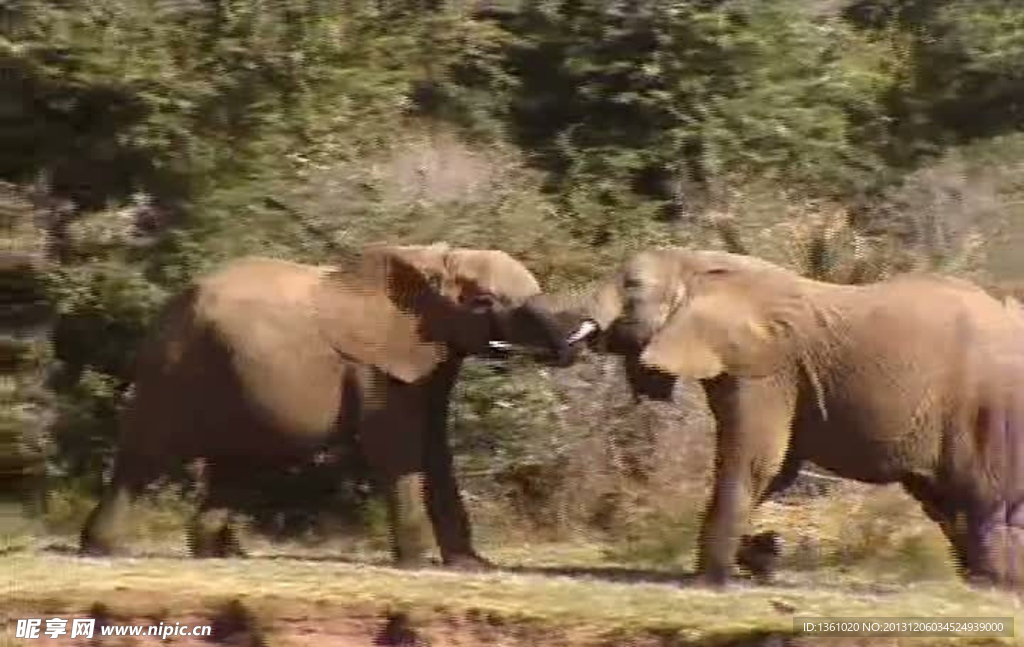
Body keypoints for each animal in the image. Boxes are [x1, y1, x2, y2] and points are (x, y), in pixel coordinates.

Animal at [79, 244, 573, 569]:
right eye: (484, 302)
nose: (575, 342)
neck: (433, 265)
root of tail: (167, 308)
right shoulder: (374, 364)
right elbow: (395, 446)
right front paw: (416, 565)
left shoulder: (430, 358)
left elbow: (435, 447)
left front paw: (472, 566)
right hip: (179, 366)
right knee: (146, 453)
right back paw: (105, 551)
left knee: (235, 464)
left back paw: (216, 555)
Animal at [528, 248, 1024, 589]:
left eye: (631, 288)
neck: (700, 265)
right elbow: (776, 469)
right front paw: (759, 555)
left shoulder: (766, 369)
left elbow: (753, 460)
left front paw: (710, 581)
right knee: (947, 502)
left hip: (986, 411)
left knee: (979, 495)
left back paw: (993, 584)